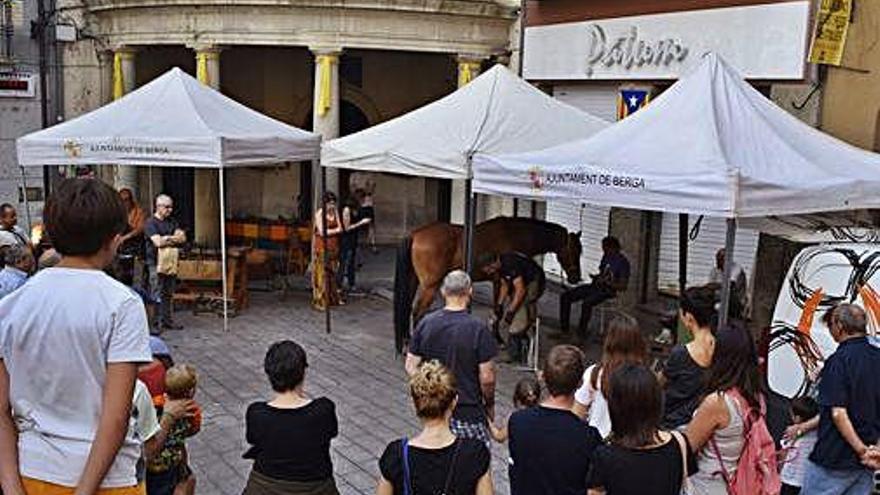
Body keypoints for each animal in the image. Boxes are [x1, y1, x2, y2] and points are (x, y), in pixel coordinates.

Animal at [396, 217, 580, 352]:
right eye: (574, 250)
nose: (576, 278)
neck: (515, 234)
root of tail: (415, 234)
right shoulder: (501, 280)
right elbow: (499, 310)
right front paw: (499, 339)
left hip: (414, 281)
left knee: (407, 307)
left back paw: (406, 342)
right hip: (430, 286)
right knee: (418, 312)